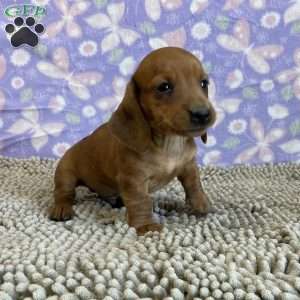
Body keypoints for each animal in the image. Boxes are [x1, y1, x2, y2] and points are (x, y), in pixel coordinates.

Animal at [50, 46, 217, 234]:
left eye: (204, 83)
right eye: (164, 87)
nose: (202, 114)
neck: (170, 143)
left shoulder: (188, 166)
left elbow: (194, 185)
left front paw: (202, 204)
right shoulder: (134, 180)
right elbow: (141, 201)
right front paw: (146, 226)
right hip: (65, 174)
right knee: (64, 193)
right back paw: (62, 208)